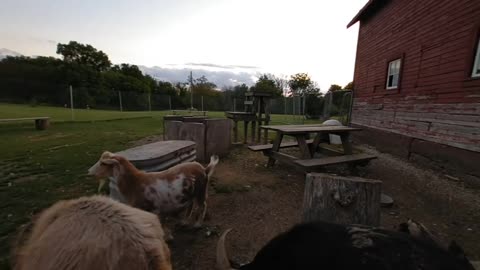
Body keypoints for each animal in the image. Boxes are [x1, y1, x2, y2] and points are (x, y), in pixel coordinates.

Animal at [88, 151, 219, 229]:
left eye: (103, 163)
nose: (89, 171)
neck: (134, 183)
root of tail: (205, 169)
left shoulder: (151, 209)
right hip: (189, 194)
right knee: (190, 205)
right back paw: (184, 222)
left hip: (201, 191)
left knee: (202, 205)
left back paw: (197, 224)